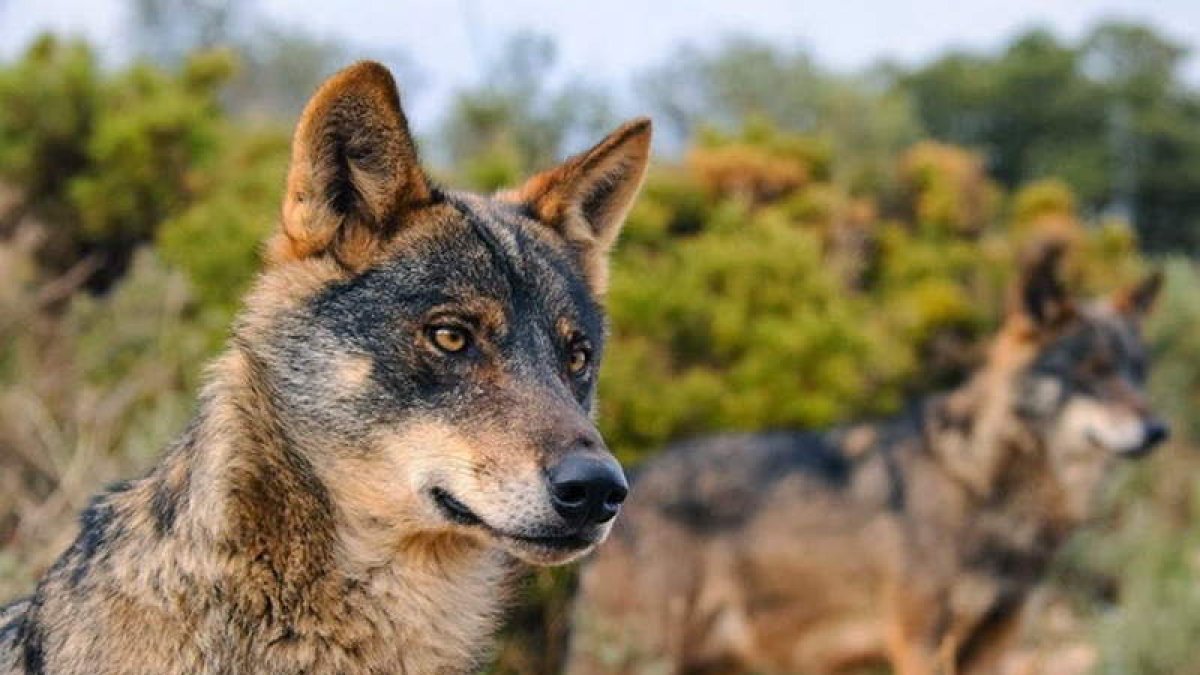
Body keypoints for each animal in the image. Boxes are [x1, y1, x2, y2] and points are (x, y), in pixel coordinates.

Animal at [568, 242, 1166, 675]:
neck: (980, 482)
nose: (1159, 429)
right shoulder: (920, 643)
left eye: (1137, 372)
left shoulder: (997, 645)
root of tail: (630, 481)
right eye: (1091, 371)